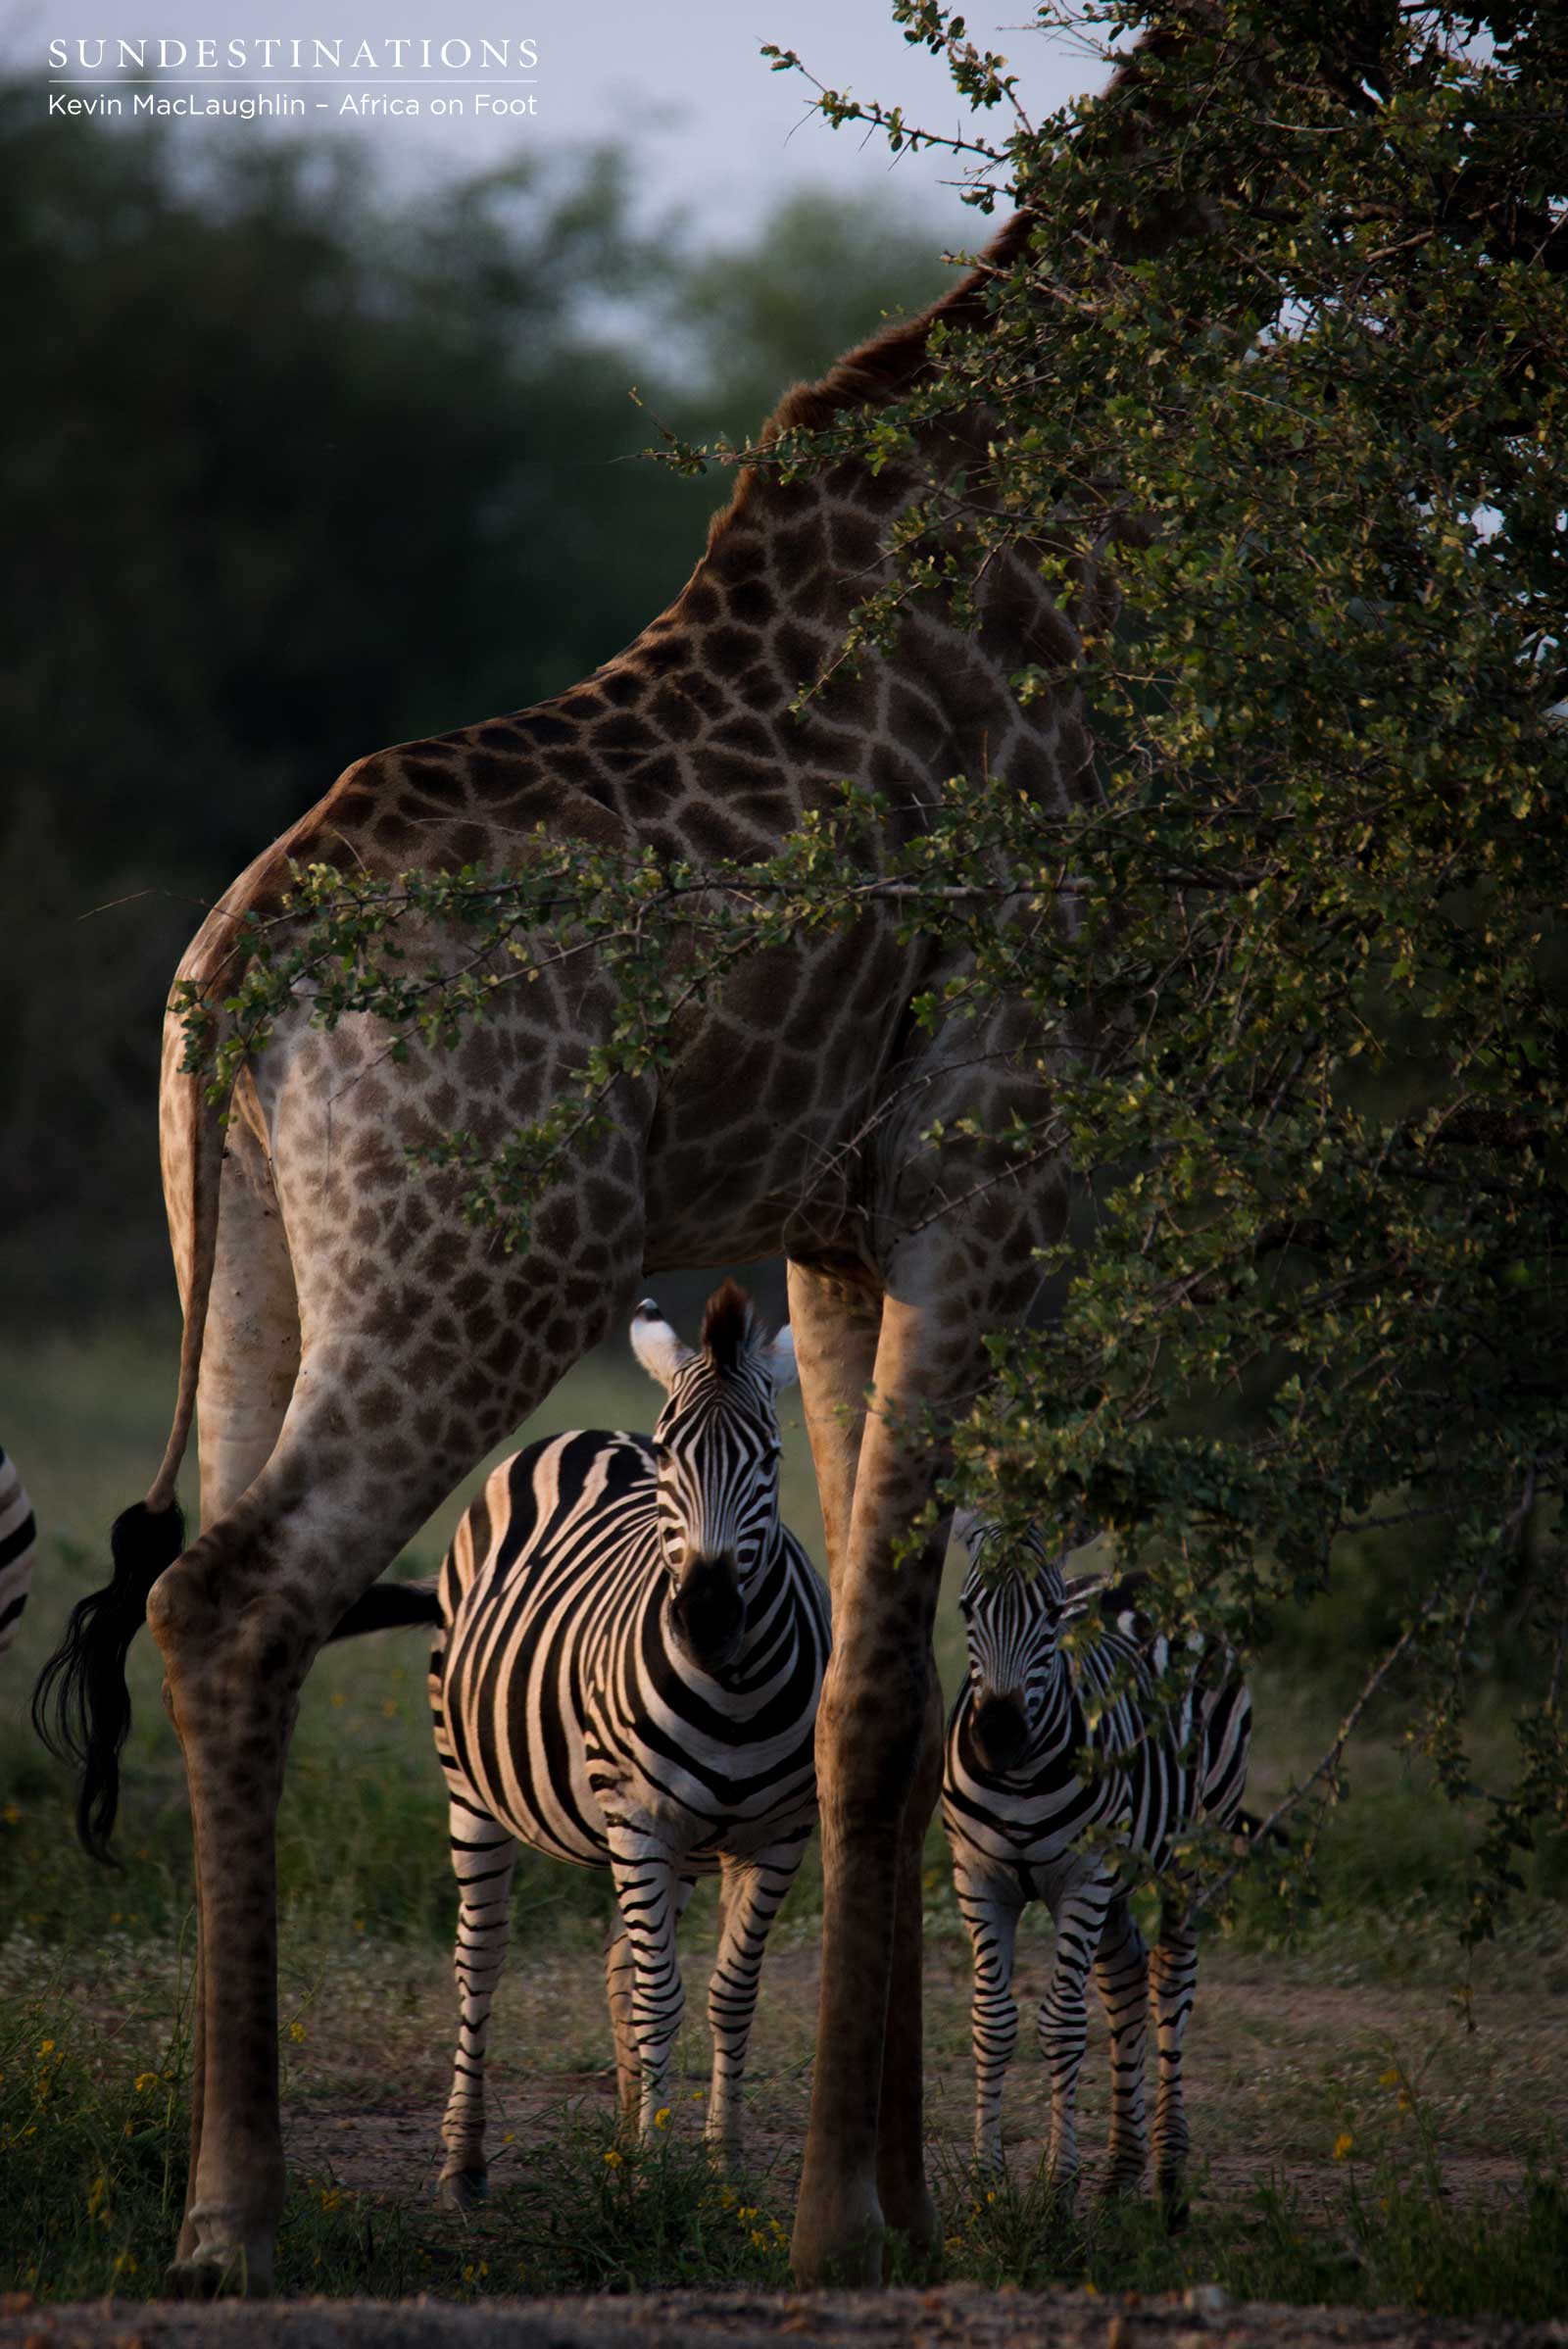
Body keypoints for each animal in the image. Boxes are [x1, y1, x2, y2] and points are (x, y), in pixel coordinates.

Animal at [37, 128, 1176, 2287]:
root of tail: (243, 963)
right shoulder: (987, 1160)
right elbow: (886, 1684)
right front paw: (840, 2225)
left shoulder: (833, 1221)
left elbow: (882, 1685)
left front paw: (890, 2197)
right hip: (483, 1260)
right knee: (240, 1596)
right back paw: (240, 2216)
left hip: (250, 1266)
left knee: (203, 1583)